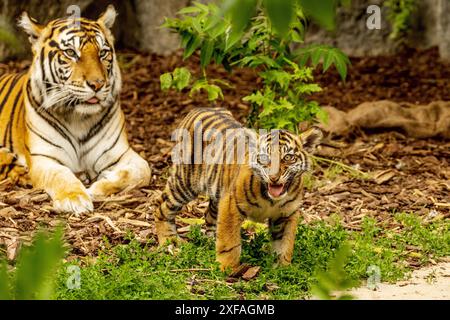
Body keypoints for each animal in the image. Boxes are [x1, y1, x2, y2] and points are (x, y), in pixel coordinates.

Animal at [0, 5, 151, 214]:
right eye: (71, 52)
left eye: (103, 53)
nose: (97, 84)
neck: (78, 118)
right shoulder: (44, 158)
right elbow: (61, 175)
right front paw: (75, 198)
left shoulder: (122, 154)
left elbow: (142, 171)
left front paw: (98, 186)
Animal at [153, 108, 322, 270]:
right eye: (264, 158)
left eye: (288, 157)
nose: (273, 177)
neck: (271, 199)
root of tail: (197, 109)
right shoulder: (231, 205)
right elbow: (230, 242)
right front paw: (227, 268)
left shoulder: (288, 214)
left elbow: (285, 244)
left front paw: (283, 269)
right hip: (185, 182)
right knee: (161, 206)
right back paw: (170, 241)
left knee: (209, 215)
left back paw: (209, 241)